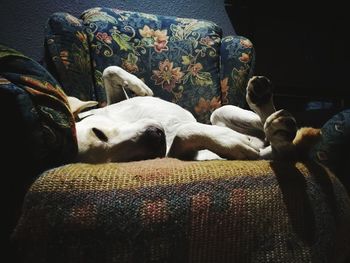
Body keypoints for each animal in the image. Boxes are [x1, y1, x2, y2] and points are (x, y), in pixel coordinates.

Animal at [67, 66, 320, 163]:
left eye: (98, 132)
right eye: (127, 160)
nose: (157, 137)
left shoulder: (115, 102)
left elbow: (109, 71)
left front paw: (138, 86)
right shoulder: (176, 150)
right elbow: (185, 131)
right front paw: (231, 142)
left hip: (221, 112)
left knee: (262, 120)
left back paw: (262, 99)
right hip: (258, 149)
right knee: (282, 152)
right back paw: (278, 132)